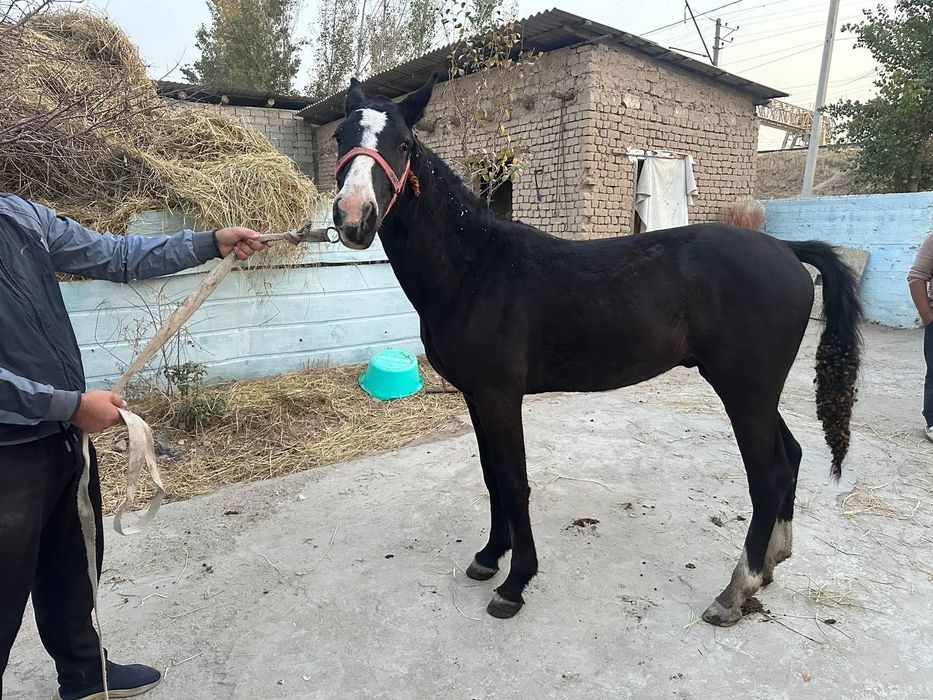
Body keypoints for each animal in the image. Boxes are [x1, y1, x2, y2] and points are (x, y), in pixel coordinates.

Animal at [330, 74, 862, 624]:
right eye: (340, 138)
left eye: (404, 145)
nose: (353, 217)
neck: (474, 268)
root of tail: (788, 250)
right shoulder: (476, 397)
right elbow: (492, 475)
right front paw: (489, 557)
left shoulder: (500, 397)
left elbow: (514, 482)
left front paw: (515, 583)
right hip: (755, 392)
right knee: (791, 456)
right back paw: (773, 562)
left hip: (745, 392)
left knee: (769, 474)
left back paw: (736, 589)